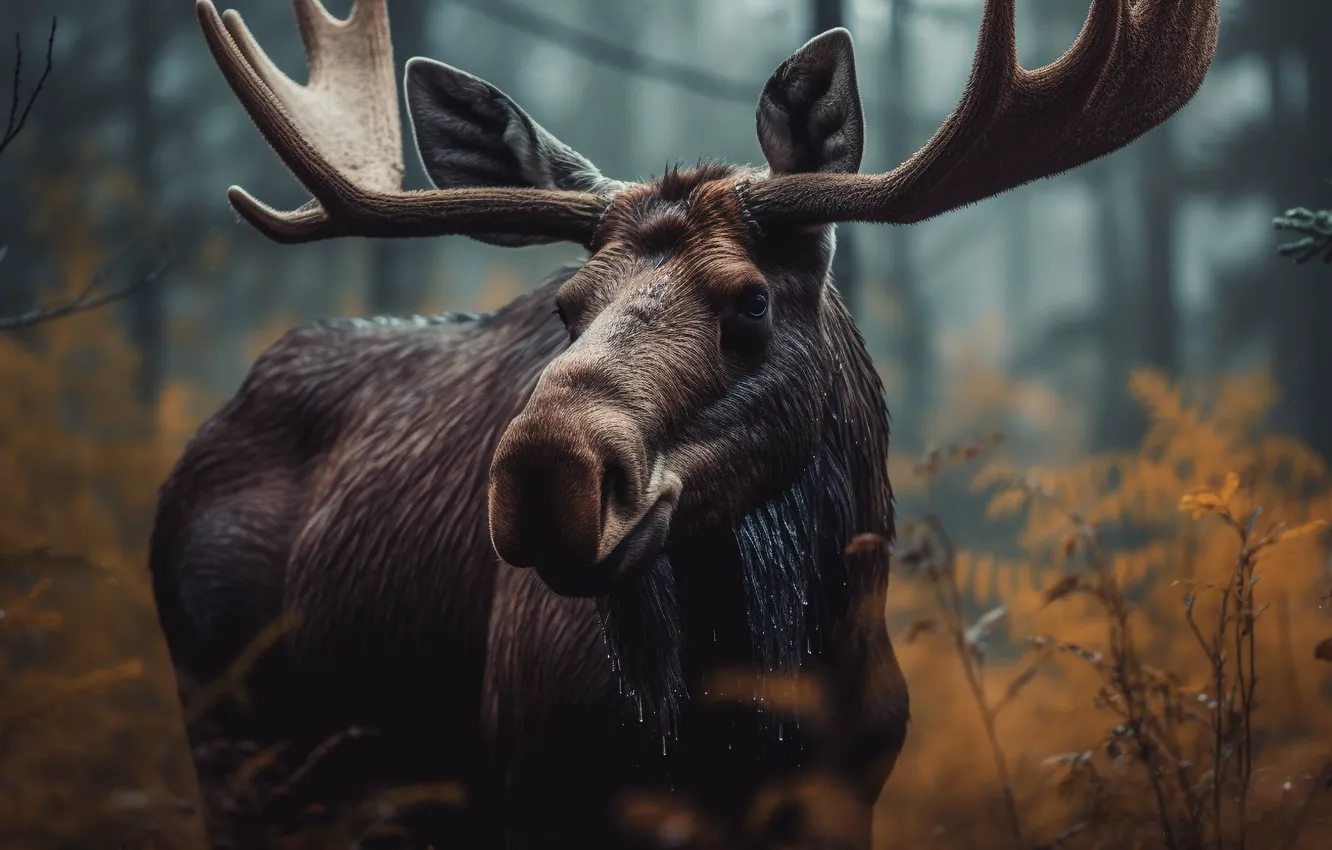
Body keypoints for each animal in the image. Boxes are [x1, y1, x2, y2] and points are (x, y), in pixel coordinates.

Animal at [150, 1, 1220, 848]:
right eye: (567, 303)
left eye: (751, 300)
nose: (545, 474)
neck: (744, 728)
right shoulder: (534, 788)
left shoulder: (849, 795)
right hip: (229, 744)